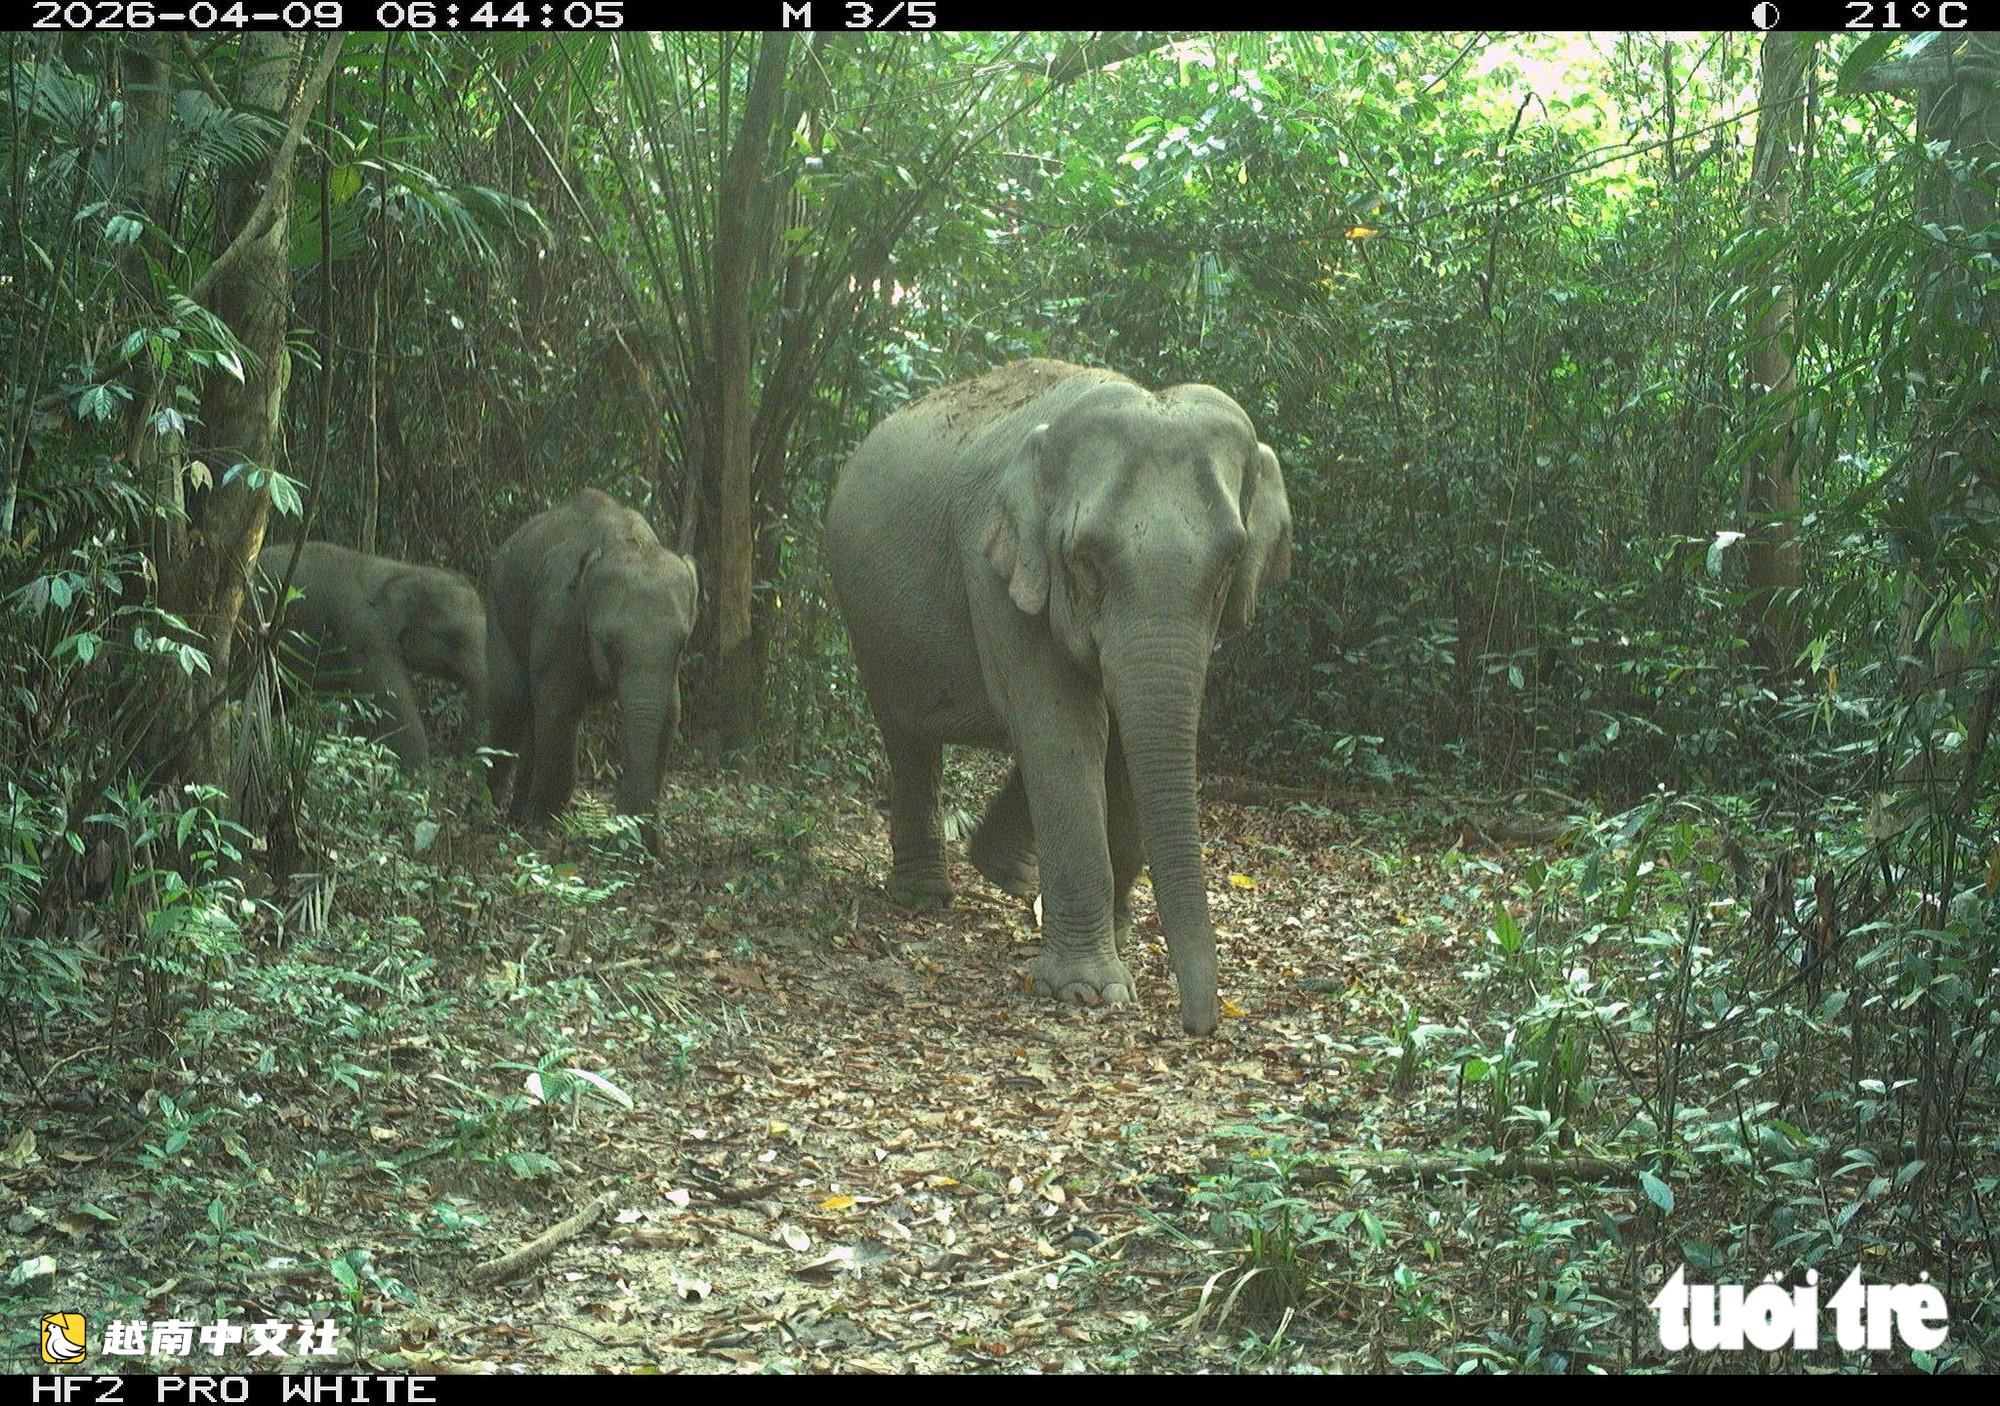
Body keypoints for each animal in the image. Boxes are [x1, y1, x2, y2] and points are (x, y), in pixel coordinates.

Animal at [254, 540, 488, 768]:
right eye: (454, 637)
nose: (460, 754)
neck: (405, 571)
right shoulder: (365, 634)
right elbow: (391, 703)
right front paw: (420, 775)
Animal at [485, 489, 699, 830]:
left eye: (683, 644)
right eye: (609, 645)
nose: (626, 818)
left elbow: (669, 716)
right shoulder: (558, 614)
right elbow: (559, 707)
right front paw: (542, 823)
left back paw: (517, 813)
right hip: (499, 603)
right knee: (513, 702)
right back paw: (491, 808)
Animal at [826, 359, 1292, 1037]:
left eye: (1230, 562)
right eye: (1085, 559)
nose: (1199, 1024)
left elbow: (1118, 732)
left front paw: (1115, 939)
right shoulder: (996, 571)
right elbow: (1063, 729)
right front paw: (1089, 990)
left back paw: (1003, 871)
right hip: (869, 625)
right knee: (909, 738)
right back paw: (925, 896)